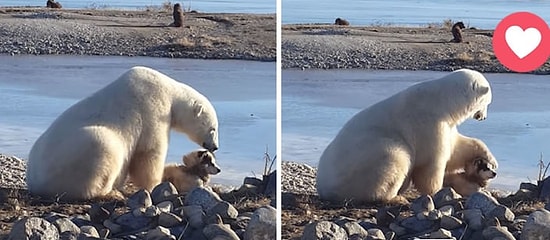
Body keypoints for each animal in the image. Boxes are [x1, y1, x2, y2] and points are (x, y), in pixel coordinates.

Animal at [26, 66, 220, 201]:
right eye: (213, 128)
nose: (215, 146)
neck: (170, 91)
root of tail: (35, 183)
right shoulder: (153, 109)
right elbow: (149, 153)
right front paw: (154, 184)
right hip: (75, 157)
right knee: (103, 146)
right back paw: (109, 192)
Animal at [316, 68, 498, 203]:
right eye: (488, 102)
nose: (483, 117)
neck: (443, 101)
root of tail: (322, 186)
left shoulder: (446, 124)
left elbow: (457, 148)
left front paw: (491, 160)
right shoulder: (428, 124)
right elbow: (432, 162)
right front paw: (438, 191)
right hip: (364, 159)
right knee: (396, 157)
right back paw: (394, 197)